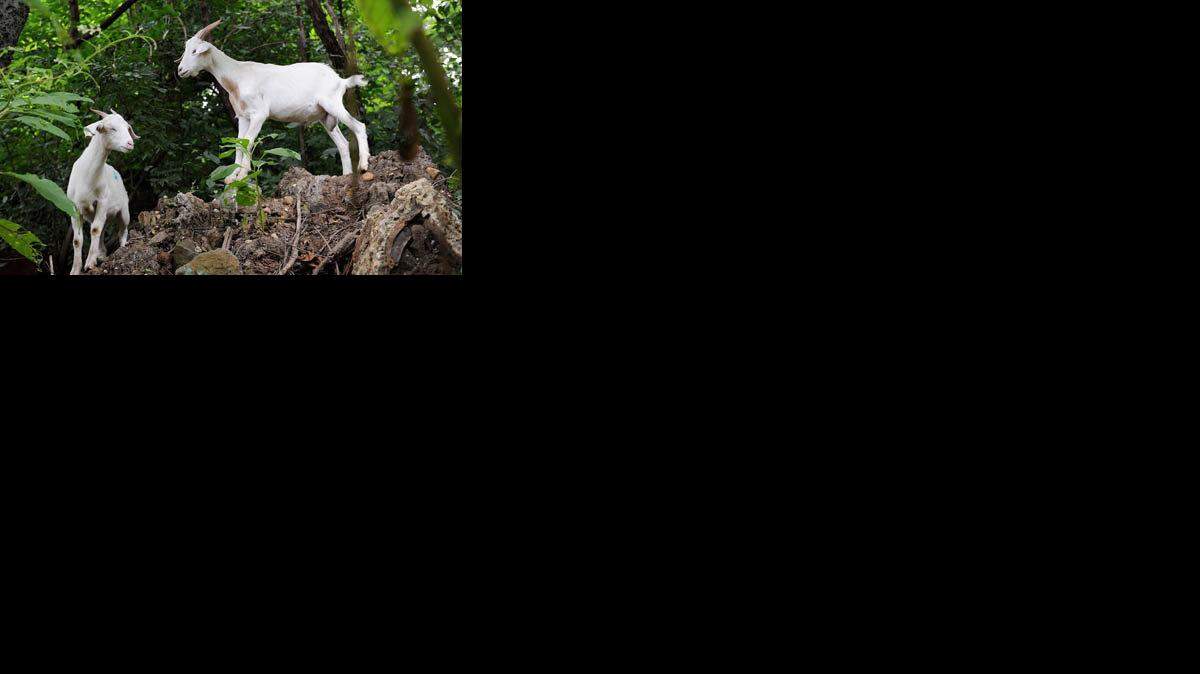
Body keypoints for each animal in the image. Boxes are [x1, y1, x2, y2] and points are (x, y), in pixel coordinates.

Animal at [67, 109, 137, 274]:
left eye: (127, 128)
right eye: (112, 128)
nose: (130, 143)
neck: (88, 177)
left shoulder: (102, 202)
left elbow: (95, 230)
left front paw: (89, 263)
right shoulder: (74, 208)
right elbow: (77, 240)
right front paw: (75, 269)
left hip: (124, 210)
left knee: (122, 229)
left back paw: (121, 247)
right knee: (103, 230)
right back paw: (102, 254)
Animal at [177, 20, 370, 182]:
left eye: (194, 51)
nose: (180, 70)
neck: (237, 76)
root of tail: (340, 80)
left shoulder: (259, 114)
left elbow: (249, 141)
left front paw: (243, 175)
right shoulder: (243, 116)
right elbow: (239, 143)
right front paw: (232, 176)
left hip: (332, 103)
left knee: (359, 126)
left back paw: (363, 166)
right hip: (324, 116)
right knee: (343, 144)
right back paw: (345, 175)